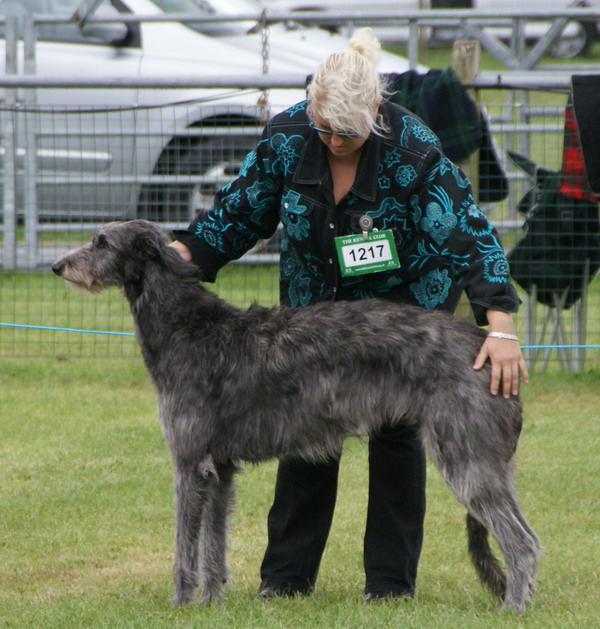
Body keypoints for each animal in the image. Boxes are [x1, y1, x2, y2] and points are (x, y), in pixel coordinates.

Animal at [52, 220, 540, 608]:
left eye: (100, 242)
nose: (58, 266)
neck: (186, 328)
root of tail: (489, 347)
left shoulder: (189, 463)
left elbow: (184, 546)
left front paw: (179, 604)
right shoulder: (220, 469)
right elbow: (213, 543)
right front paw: (211, 602)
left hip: (465, 456)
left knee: (523, 543)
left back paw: (513, 608)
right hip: (487, 462)